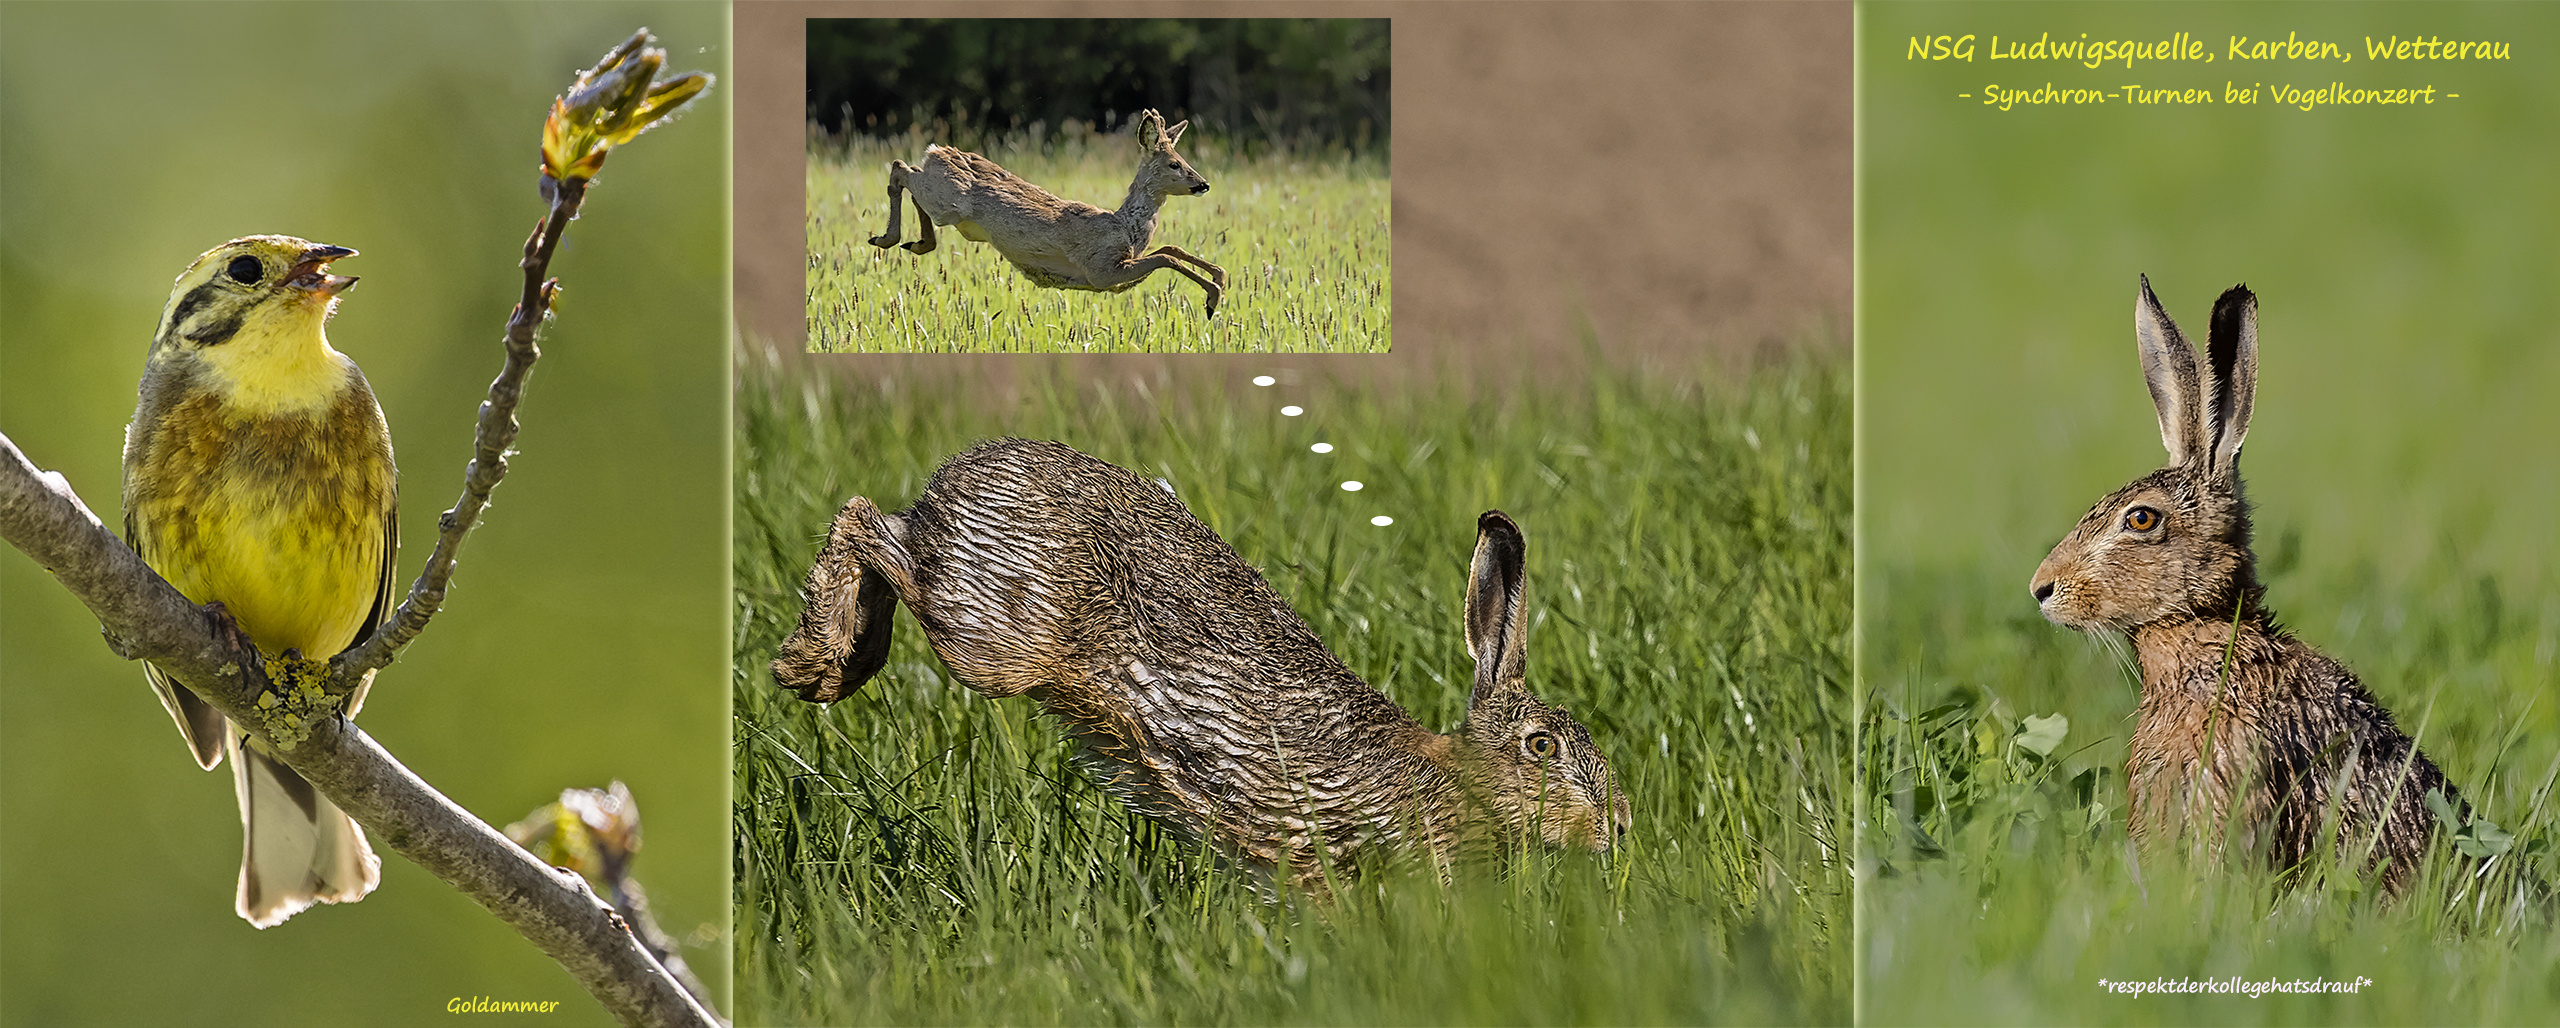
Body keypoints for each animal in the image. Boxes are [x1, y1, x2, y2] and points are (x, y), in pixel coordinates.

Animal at [870, 108, 1228, 317]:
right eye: (1175, 164)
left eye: (1184, 160)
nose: (1203, 184)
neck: (1124, 226)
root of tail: (937, 151)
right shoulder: (1102, 272)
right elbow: (1166, 257)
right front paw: (1213, 299)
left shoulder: (1118, 271)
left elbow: (1171, 248)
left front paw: (1220, 277)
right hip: (947, 201)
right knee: (901, 168)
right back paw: (886, 238)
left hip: (946, 202)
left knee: (908, 173)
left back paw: (916, 243)